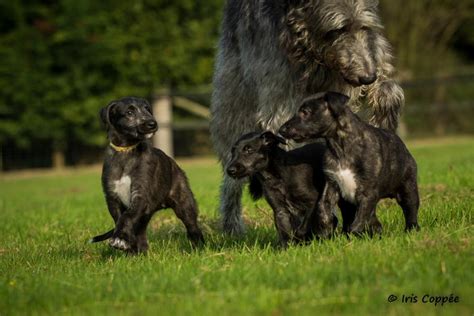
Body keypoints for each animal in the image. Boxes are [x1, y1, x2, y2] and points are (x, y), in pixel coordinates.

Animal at [90, 97, 204, 253]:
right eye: (129, 112)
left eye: (147, 109)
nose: (152, 123)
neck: (126, 150)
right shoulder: (112, 198)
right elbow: (120, 219)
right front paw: (126, 243)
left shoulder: (140, 194)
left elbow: (127, 216)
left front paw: (120, 239)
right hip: (145, 215)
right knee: (141, 234)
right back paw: (139, 252)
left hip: (184, 203)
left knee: (192, 227)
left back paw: (199, 248)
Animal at [210, 0, 404, 233]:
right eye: (337, 30)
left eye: (364, 27)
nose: (367, 77)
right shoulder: (278, 86)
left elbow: (387, 81)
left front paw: (385, 111)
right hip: (234, 99)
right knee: (232, 171)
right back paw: (232, 226)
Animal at [280, 91, 420, 235]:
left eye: (305, 112)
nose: (281, 130)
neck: (340, 148)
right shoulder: (332, 184)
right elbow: (323, 206)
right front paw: (325, 230)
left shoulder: (367, 192)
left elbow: (359, 219)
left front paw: (353, 234)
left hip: (408, 187)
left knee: (410, 209)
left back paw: (411, 229)